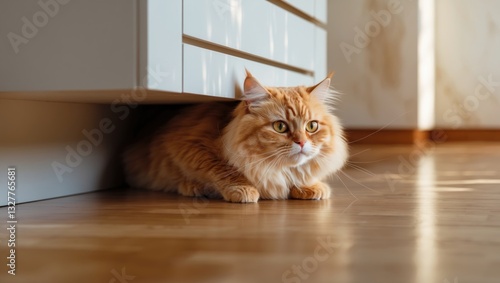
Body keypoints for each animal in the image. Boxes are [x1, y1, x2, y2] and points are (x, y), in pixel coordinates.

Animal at [124, 72, 348, 203]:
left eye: (312, 126)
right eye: (280, 127)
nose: (301, 142)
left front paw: (309, 186)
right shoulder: (186, 144)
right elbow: (221, 168)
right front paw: (243, 189)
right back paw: (193, 188)